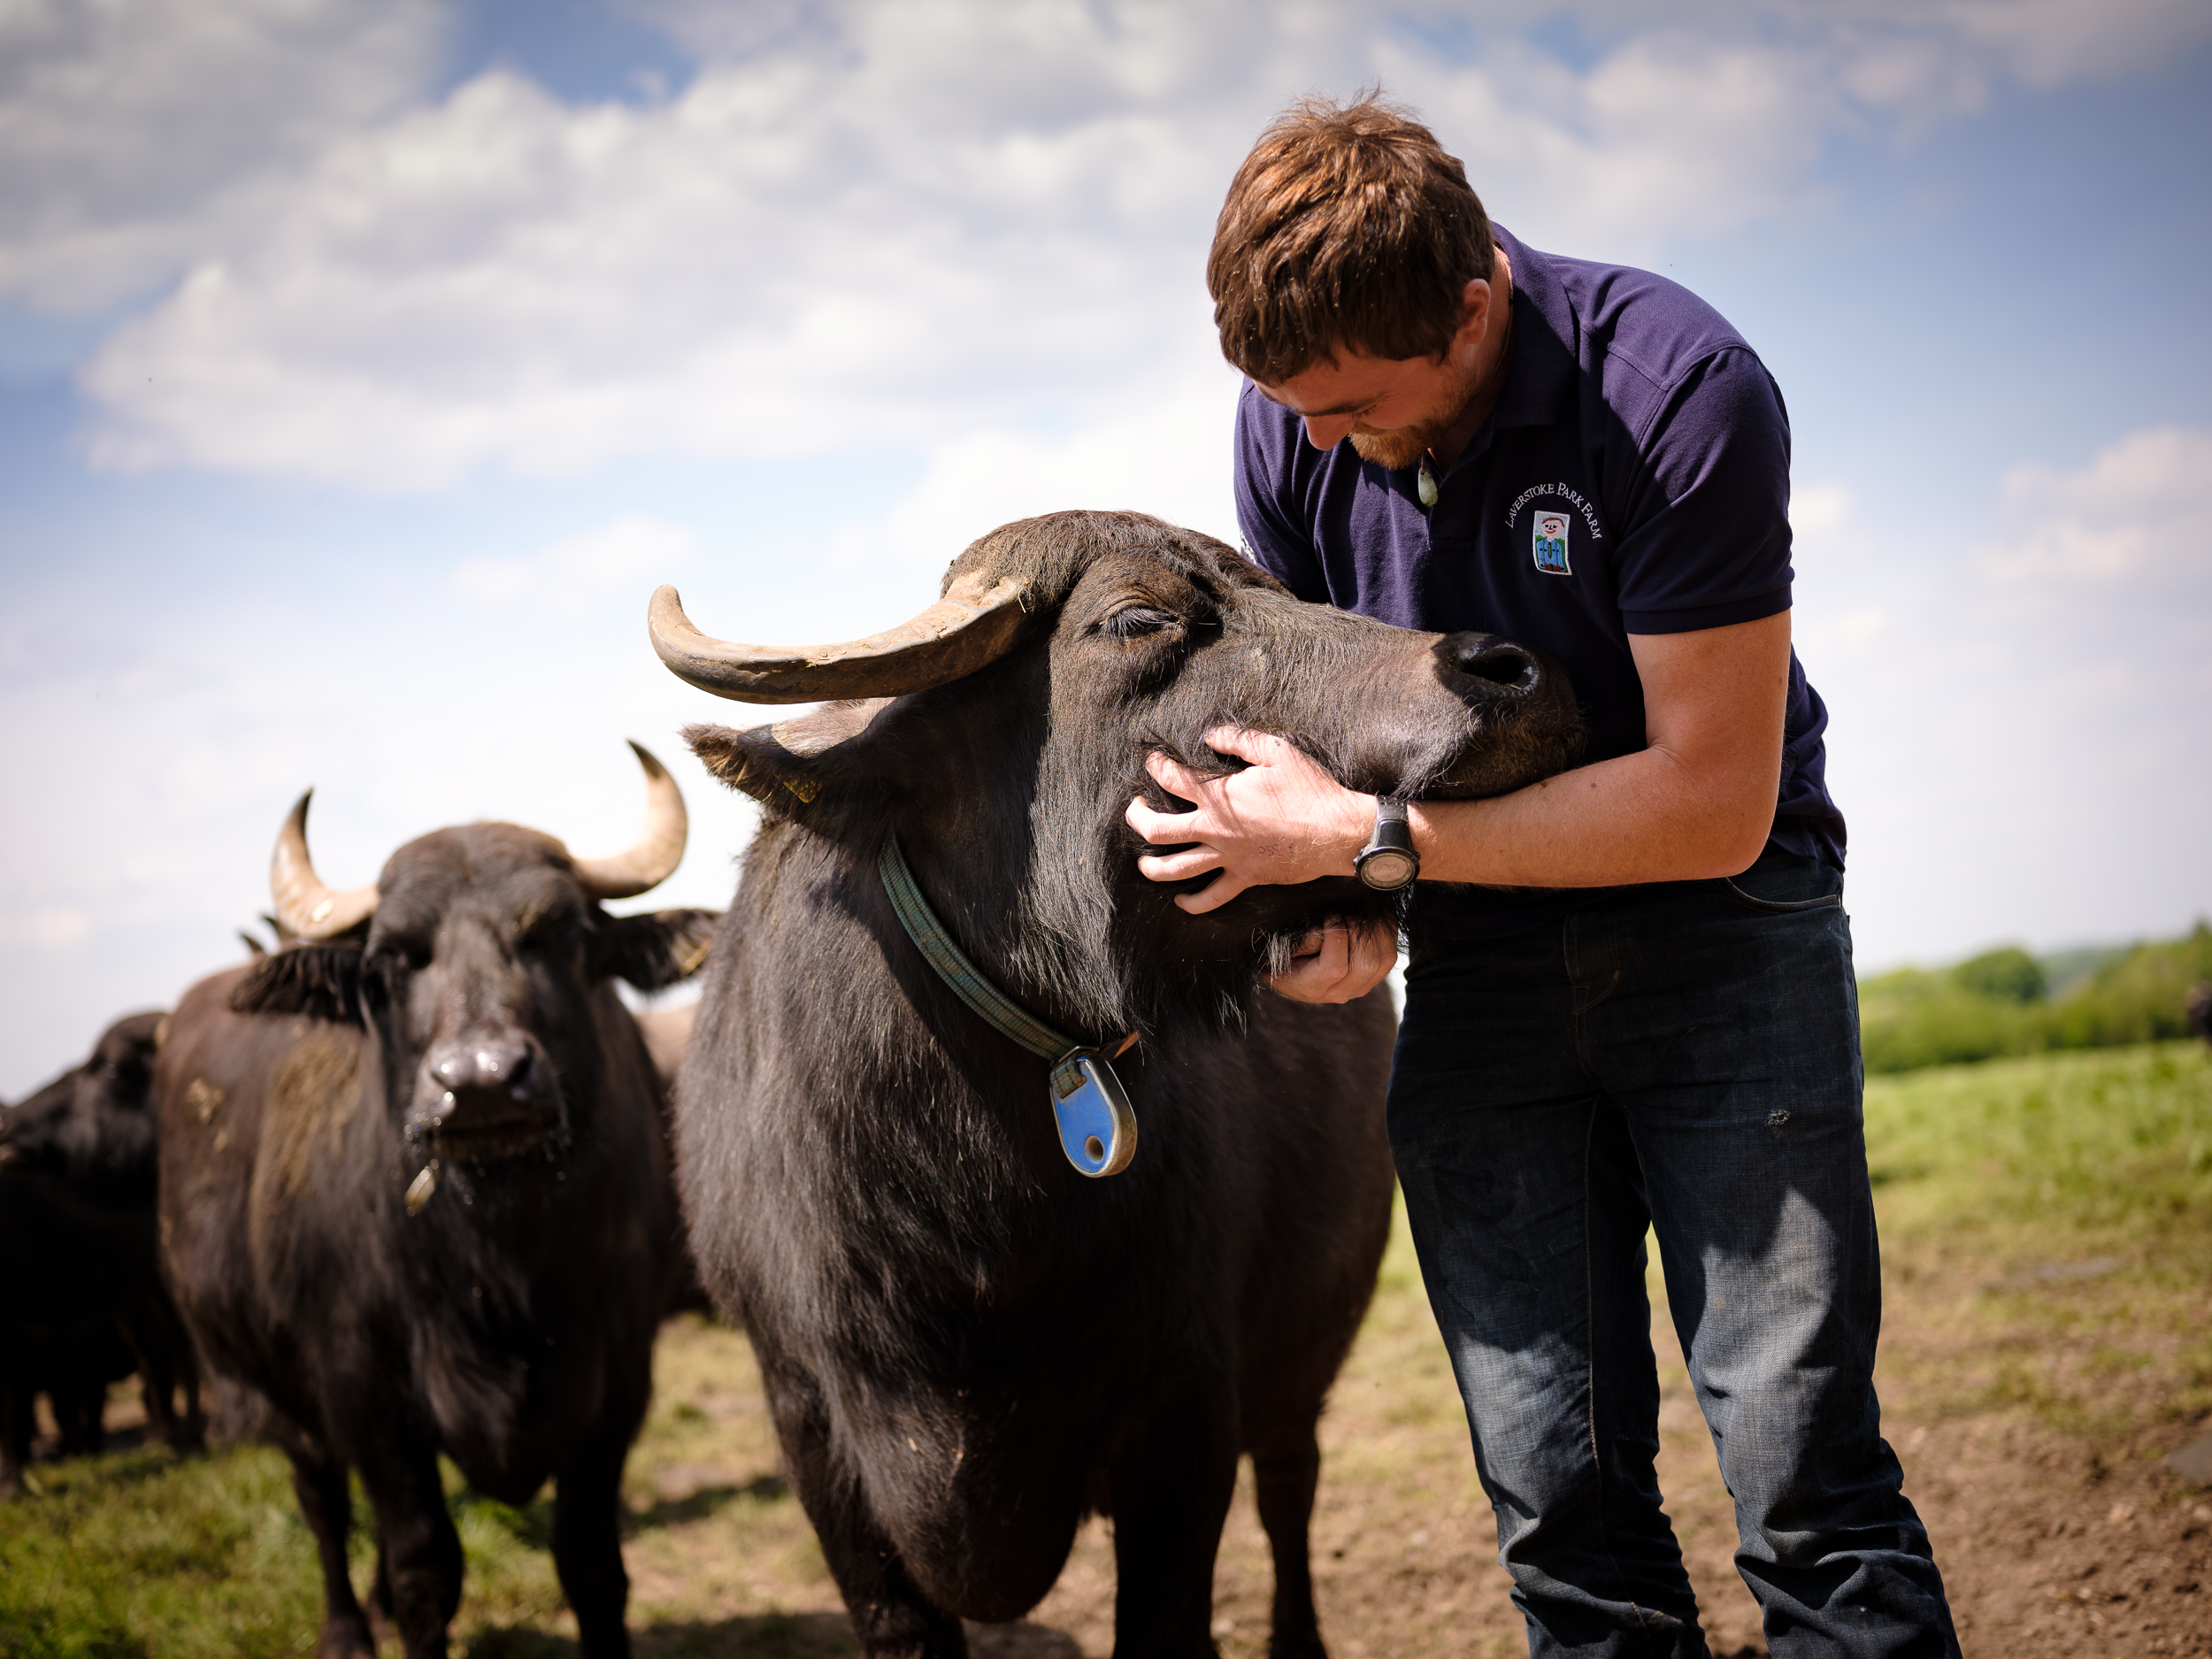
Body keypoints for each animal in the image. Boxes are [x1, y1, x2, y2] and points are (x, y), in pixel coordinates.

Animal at [2, 1013, 204, 1495]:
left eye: (112, 1069)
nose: (7, 1127)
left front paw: (12, 1483)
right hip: (137, 1302)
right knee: (156, 1360)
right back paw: (168, 1439)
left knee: (181, 1356)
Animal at [164, 752, 717, 1659]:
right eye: (391, 959)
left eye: (562, 934)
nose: (483, 1081)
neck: (496, 1268)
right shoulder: (366, 1395)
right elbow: (428, 1570)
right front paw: (401, 1608)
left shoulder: (619, 1384)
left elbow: (592, 1565)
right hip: (263, 1378)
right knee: (323, 1502)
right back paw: (349, 1627)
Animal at [646, 513, 1584, 1655]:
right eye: (1138, 620)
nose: (1510, 673)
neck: (968, 1217)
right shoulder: (811, 1429)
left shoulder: (1183, 1408)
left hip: (1305, 1348)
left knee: (1289, 1484)